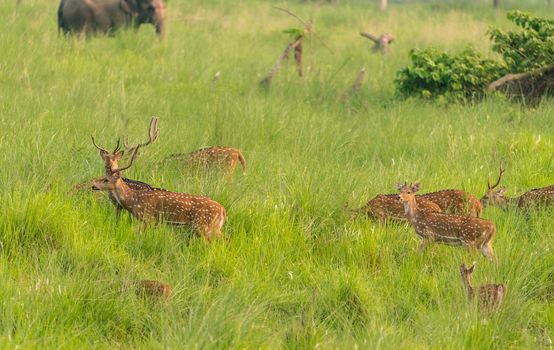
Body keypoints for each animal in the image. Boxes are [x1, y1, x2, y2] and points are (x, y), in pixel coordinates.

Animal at [91, 146, 225, 242]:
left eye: (106, 180)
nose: (93, 185)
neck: (133, 200)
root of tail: (223, 210)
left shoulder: (148, 218)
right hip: (213, 228)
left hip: (204, 226)